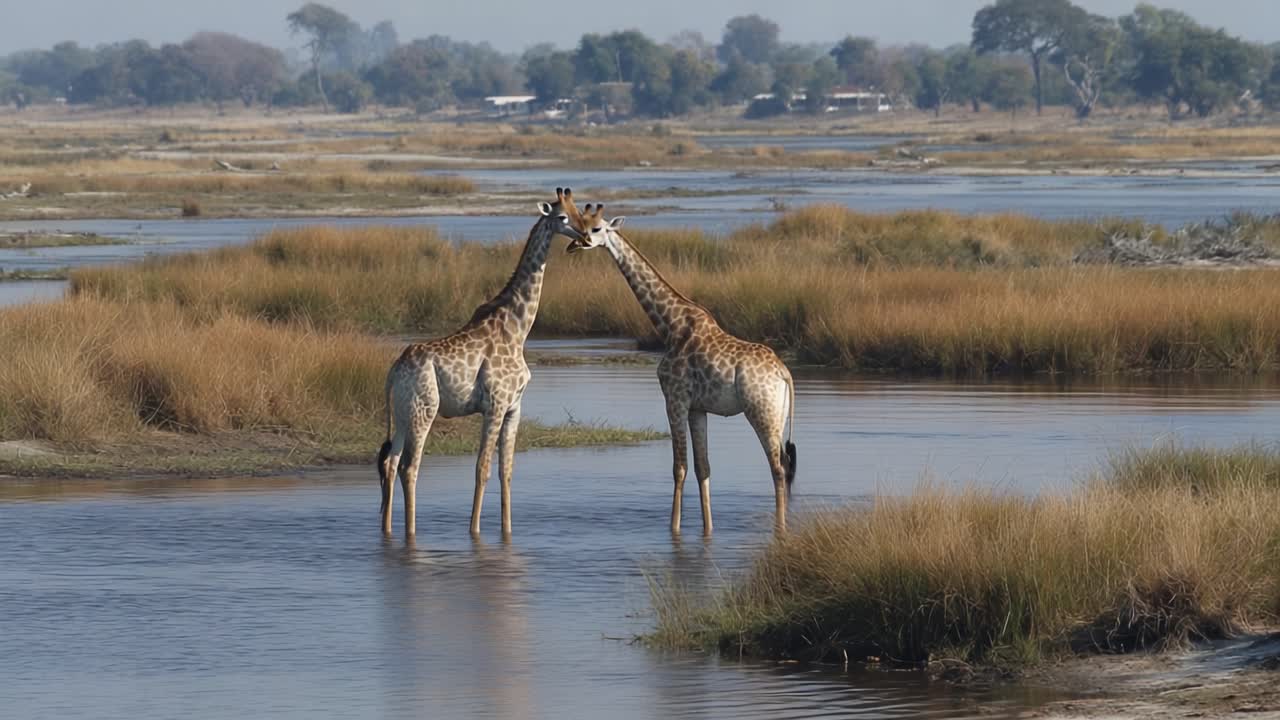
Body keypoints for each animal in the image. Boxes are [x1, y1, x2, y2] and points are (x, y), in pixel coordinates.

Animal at [378, 187, 585, 537]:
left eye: (581, 213)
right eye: (562, 217)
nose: (585, 236)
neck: (518, 328)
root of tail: (394, 371)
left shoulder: (514, 407)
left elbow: (507, 471)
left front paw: (507, 531)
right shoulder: (495, 404)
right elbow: (482, 468)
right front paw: (474, 531)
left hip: (403, 412)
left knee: (391, 463)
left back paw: (388, 530)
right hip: (424, 409)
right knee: (409, 467)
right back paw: (411, 532)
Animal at [566, 204, 797, 534]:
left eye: (596, 229)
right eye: (577, 225)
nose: (575, 244)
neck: (669, 326)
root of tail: (783, 373)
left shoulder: (674, 397)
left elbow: (679, 467)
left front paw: (673, 529)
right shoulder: (697, 408)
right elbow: (703, 467)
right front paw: (707, 529)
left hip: (760, 410)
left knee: (777, 468)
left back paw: (780, 529)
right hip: (778, 415)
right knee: (786, 466)